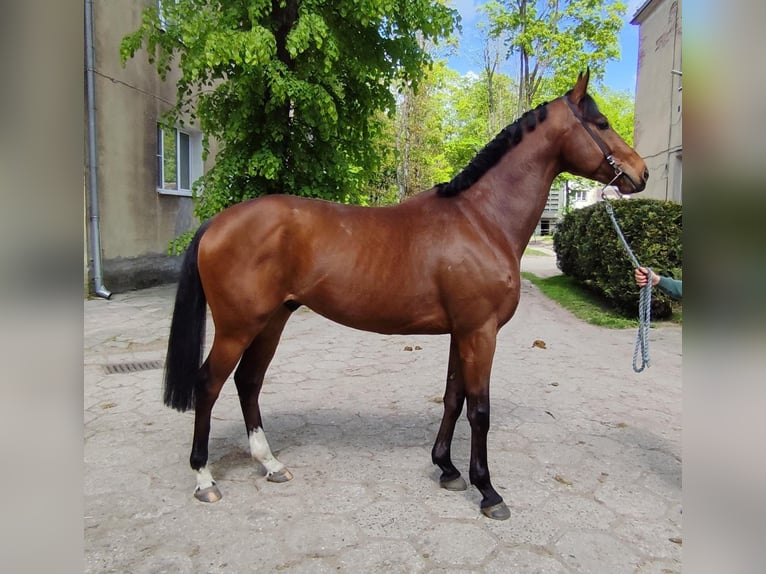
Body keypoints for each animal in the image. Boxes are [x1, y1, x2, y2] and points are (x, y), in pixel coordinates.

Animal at [162, 70, 648, 520]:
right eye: (602, 123)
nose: (640, 173)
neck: (481, 219)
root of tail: (218, 223)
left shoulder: (462, 332)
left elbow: (454, 398)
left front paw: (447, 469)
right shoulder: (481, 332)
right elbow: (480, 410)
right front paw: (488, 491)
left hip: (272, 321)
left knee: (248, 382)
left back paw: (271, 464)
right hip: (237, 327)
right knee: (209, 385)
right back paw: (204, 479)